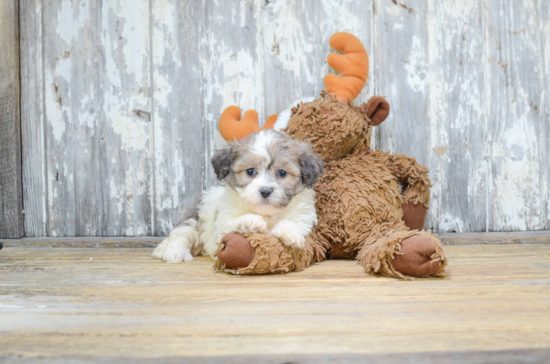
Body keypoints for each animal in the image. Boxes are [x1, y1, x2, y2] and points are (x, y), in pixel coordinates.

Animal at [152, 129, 324, 264]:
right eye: (250, 171)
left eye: (282, 173)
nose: (265, 191)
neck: (266, 214)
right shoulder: (221, 224)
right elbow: (232, 223)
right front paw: (251, 221)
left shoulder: (304, 216)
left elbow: (295, 223)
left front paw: (291, 233)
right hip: (195, 216)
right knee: (181, 234)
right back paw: (175, 252)